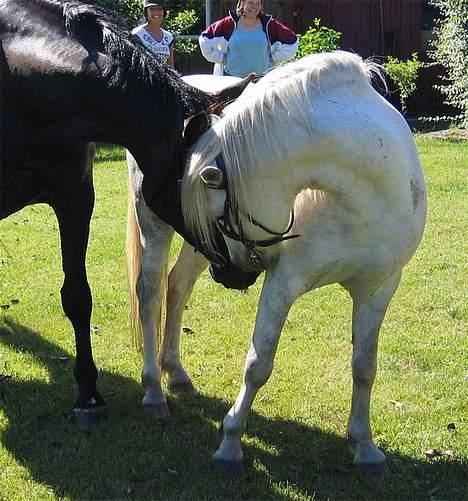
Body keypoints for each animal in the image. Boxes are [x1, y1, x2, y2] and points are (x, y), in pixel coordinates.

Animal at [126, 52, 426, 474]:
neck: (367, 194)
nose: (232, 273)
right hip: (157, 229)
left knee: (177, 287)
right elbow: (258, 364)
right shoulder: (284, 282)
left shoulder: (379, 289)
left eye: (218, 216)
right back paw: (154, 389)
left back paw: (177, 373)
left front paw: (365, 447)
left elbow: (365, 367)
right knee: (150, 293)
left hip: (196, 248)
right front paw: (230, 444)